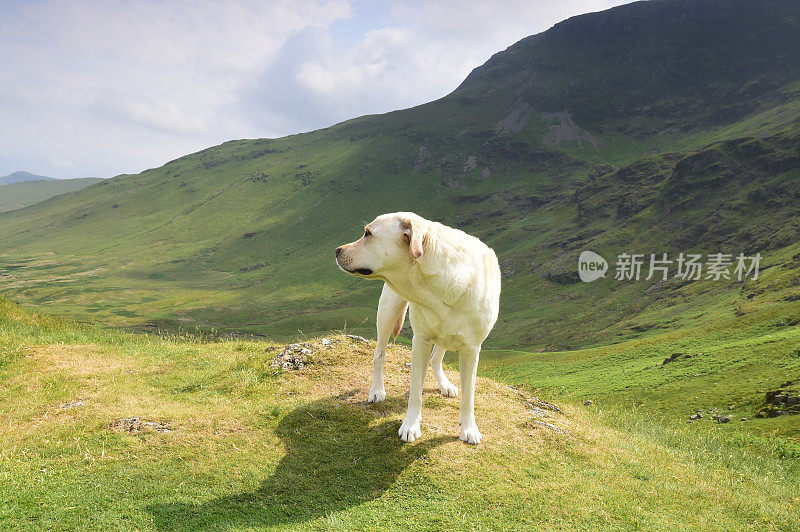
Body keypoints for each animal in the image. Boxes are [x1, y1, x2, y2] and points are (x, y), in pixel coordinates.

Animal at [336, 212, 500, 444]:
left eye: (368, 234)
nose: (337, 250)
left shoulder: (471, 349)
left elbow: (469, 394)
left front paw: (469, 429)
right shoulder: (420, 341)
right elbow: (415, 392)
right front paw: (410, 425)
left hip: (446, 334)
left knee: (436, 358)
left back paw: (444, 384)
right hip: (388, 312)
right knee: (379, 355)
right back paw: (377, 390)